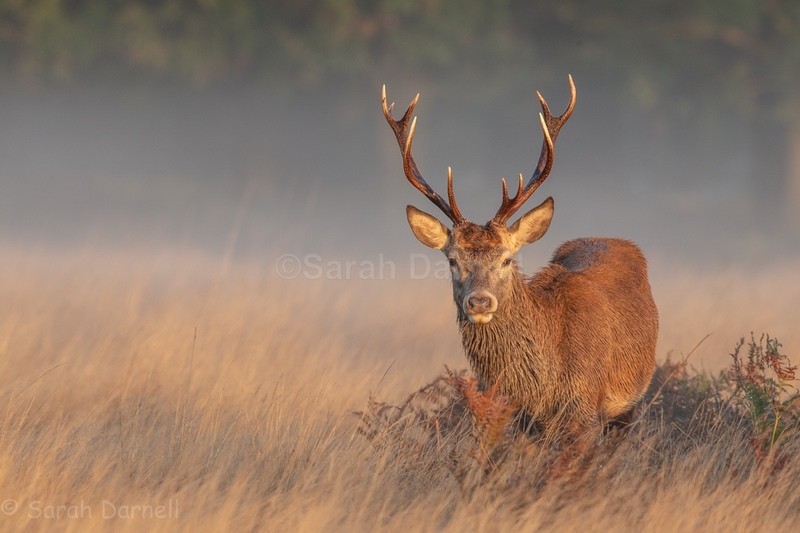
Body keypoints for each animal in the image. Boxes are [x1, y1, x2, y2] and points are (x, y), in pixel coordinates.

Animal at [381, 76, 658, 442]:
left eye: (507, 260)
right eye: (453, 260)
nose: (480, 302)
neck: (546, 385)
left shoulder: (586, 412)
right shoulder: (522, 419)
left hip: (628, 404)